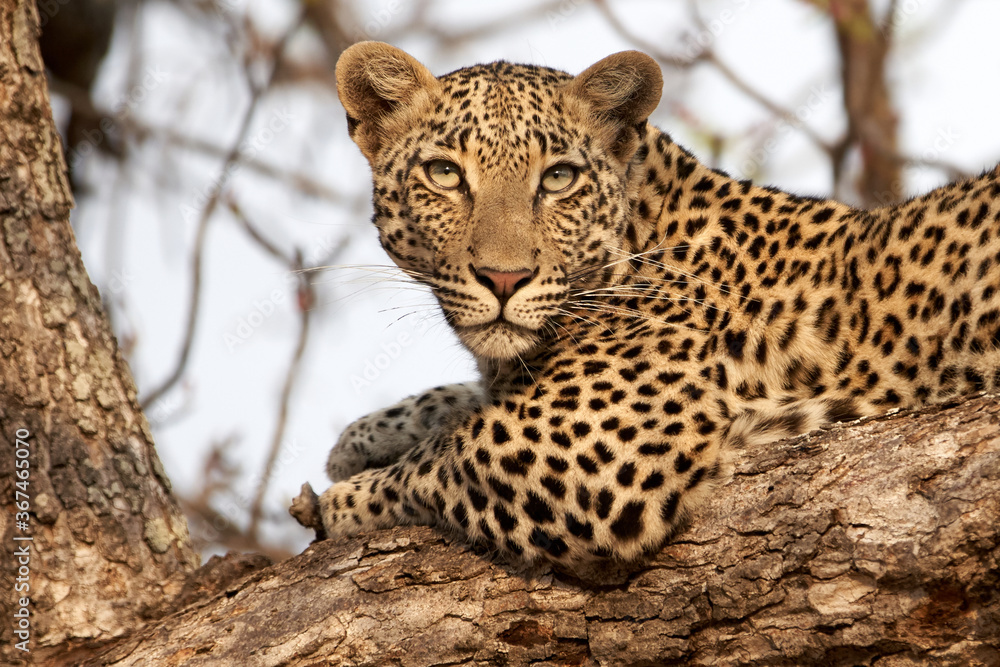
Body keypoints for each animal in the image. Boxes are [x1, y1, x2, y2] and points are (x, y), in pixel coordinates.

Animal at [308, 41, 1000, 567]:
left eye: (558, 178)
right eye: (445, 174)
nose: (504, 279)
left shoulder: (601, 441)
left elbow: (449, 452)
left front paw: (336, 501)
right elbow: (460, 399)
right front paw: (361, 438)